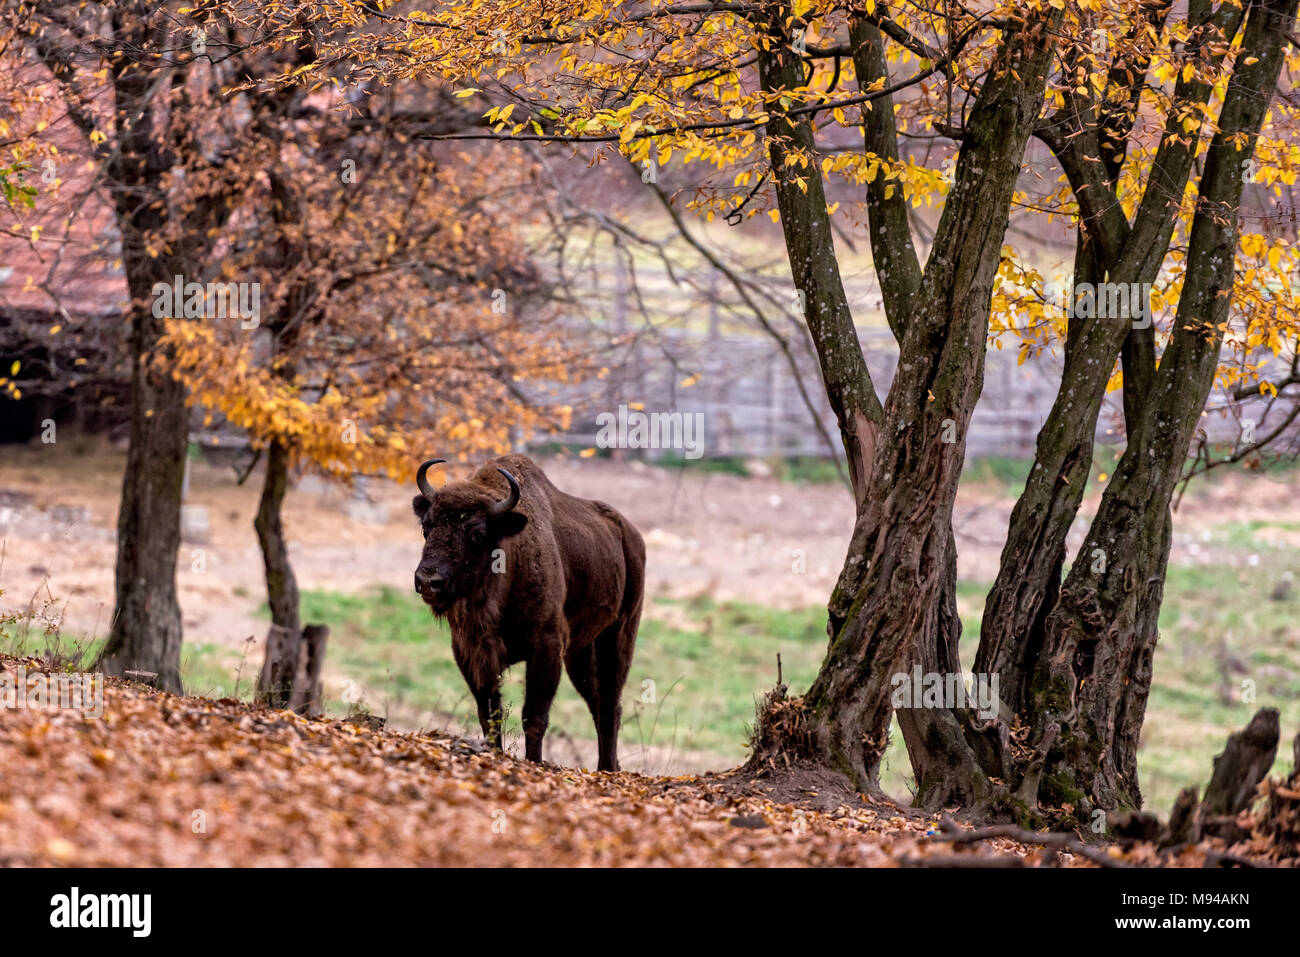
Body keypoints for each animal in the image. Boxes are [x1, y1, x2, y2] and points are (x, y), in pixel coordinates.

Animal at [410, 452, 644, 774]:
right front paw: (493, 753)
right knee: (596, 701)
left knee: (610, 703)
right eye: (426, 527)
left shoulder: (546, 646)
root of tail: (631, 535)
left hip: (619, 634)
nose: (428, 580)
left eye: (477, 533)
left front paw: (534, 763)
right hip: (580, 652)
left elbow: (534, 716)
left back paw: (606, 768)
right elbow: (489, 713)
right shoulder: (470, 652)